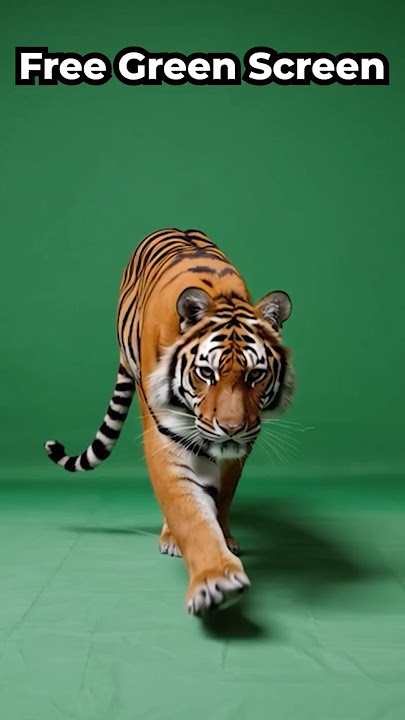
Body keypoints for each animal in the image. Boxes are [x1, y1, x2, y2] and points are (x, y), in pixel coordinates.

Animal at [45, 228, 295, 615]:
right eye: (206, 373)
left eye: (256, 374)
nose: (231, 428)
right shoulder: (166, 436)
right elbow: (187, 509)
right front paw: (214, 580)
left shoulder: (240, 447)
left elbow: (222, 498)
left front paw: (225, 538)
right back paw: (170, 538)